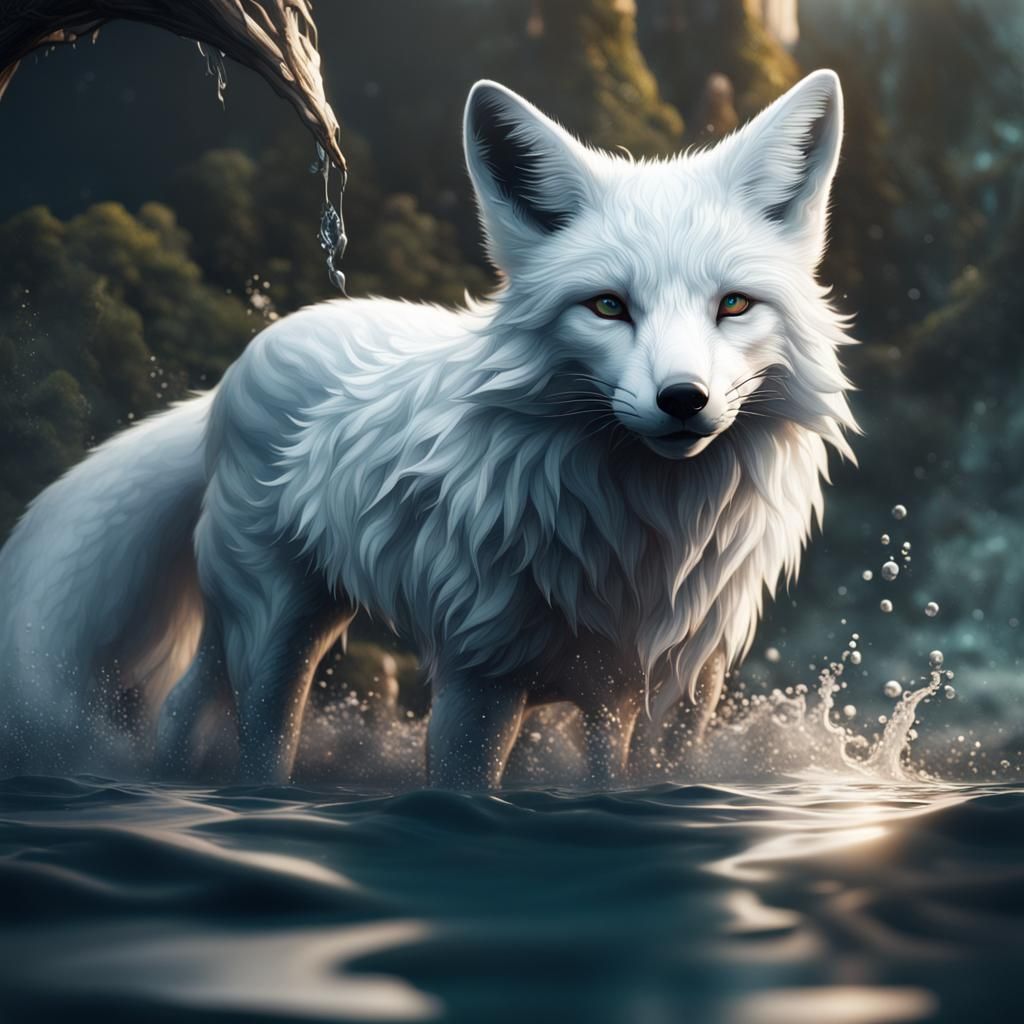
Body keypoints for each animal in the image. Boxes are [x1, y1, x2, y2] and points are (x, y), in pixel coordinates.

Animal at [0, 71, 856, 788]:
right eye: (609, 307)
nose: (683, 400)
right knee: (256, 734)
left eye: (734, 305)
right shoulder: (479, 683)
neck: (646, 541)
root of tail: (236, 370)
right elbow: (462, 789)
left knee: (184, 703)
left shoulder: (673, 693)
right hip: (277, 625)